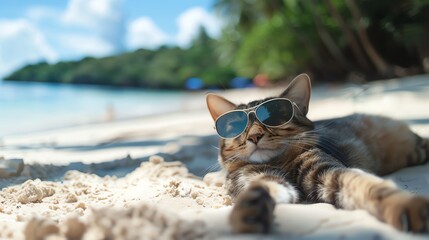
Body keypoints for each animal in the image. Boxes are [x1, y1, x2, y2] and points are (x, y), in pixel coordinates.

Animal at [204, 73, 428, 234]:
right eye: (237, 126)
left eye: (276, 118)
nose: (254, 136)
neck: (279, 162)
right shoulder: (257, 178)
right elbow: (263, 188)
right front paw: (248, 210)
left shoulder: (327, 172)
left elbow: (370, 186)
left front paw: (405, 205)